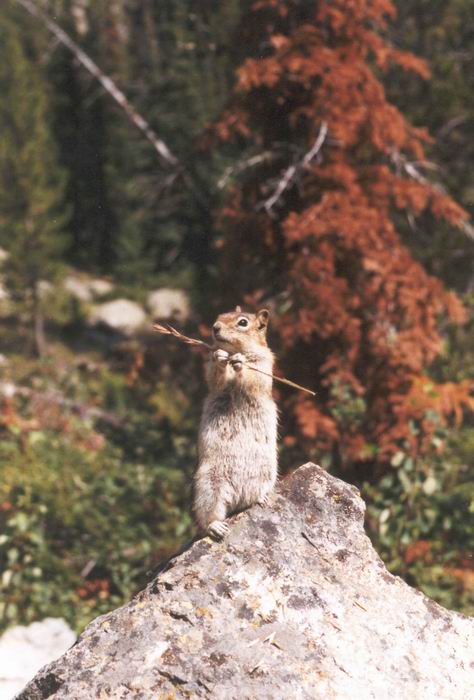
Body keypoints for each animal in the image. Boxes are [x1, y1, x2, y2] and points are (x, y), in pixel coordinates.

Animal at [193, 306, 278, 540]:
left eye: (242, 322)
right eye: (219, 316)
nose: (215, 328)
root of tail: (238, 498)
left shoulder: (264, 363)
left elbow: (254, 376)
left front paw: (240, 362)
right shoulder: (211, 368)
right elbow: (215, 377)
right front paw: (222, 358)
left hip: (267, 471)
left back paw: (261, 497)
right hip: (208, 485)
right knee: (209, 513)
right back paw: (216, 527)